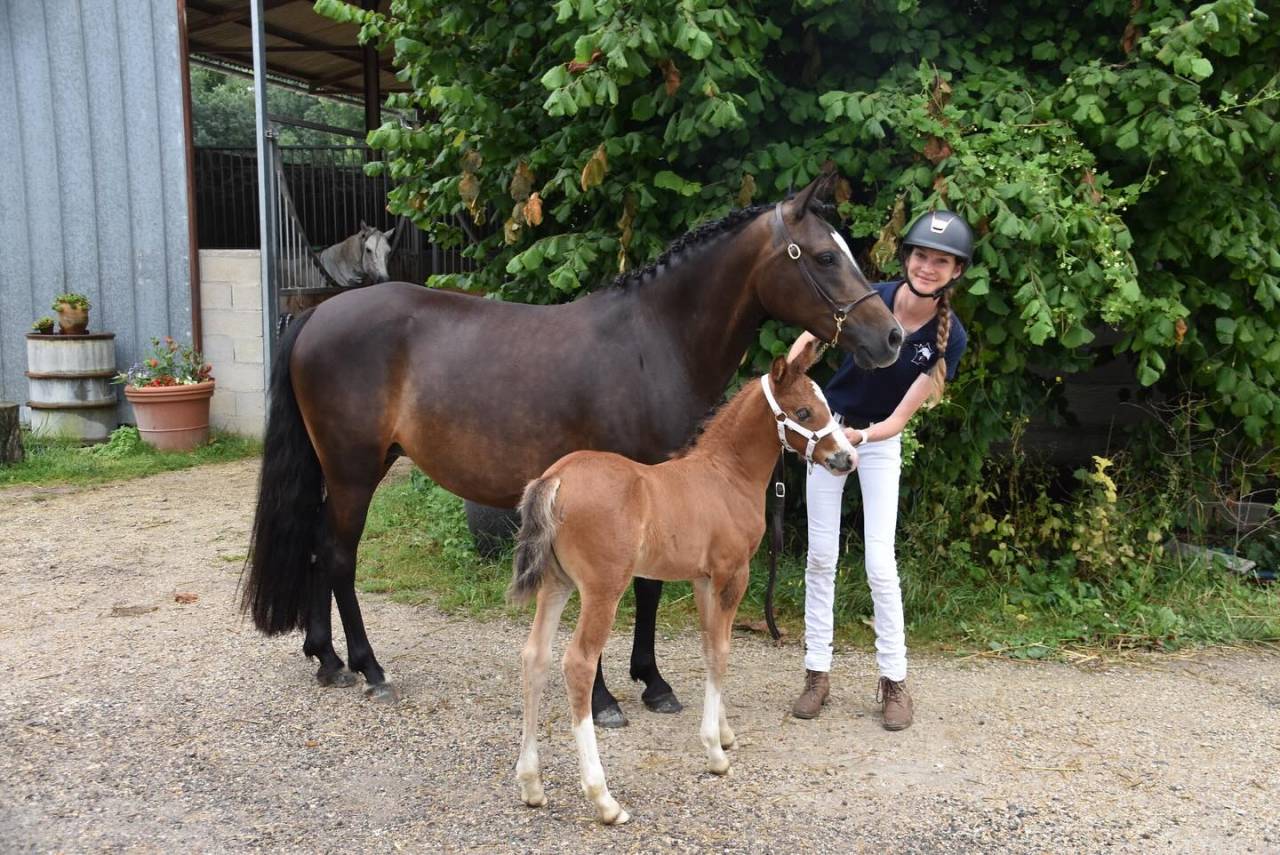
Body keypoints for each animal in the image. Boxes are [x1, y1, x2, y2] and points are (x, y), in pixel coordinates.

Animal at [240, 174, 903, 721]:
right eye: (824, 256)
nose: (892, 337)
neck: (653, 341)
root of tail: (318, 315)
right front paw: (607, 698)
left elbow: (649, 586)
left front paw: (653, 683)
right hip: (353, 471)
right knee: (337, 554)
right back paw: (367, 667)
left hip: (350, 468)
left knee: (318, 547)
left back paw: (326, 659)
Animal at [510, 339, 852, 824]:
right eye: (804, 411)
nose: (847, 458)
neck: (726, 476)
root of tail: (556, 477)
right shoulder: (733, 574)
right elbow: (722, 652)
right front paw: (715, 753)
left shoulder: (703, 580)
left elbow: (710, 648)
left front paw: (723, 733)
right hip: (603, 590)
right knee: (577, 664)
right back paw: (603, 799)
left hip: (555, 585)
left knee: (534, 657)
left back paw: (531, 784)